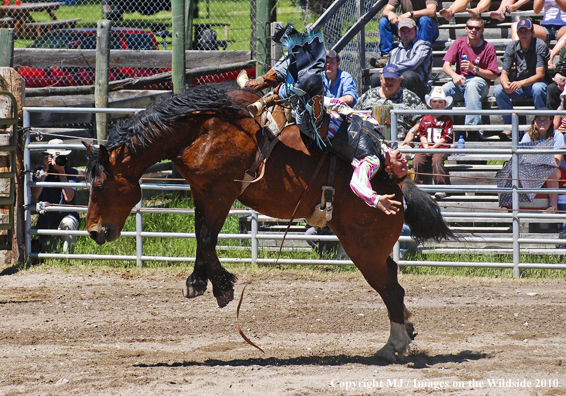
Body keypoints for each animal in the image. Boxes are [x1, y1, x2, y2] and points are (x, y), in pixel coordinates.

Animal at [84, 83, 452, 362]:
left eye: (98, 185)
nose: (94, 231)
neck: (201, 130)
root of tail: (395, 184)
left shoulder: (219, 191)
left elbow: (206, 236)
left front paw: (218, 286)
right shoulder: (203, 191)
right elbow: (203, 235)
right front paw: (203, 282)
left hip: (364, 248)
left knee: (391, 289)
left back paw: (393, 345)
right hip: (369, 247)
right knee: (393, 283)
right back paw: (404, 333)